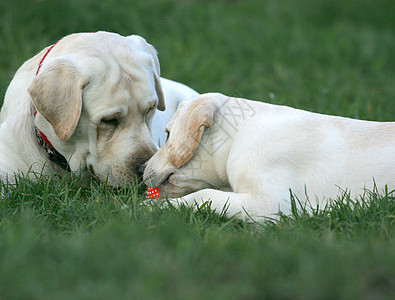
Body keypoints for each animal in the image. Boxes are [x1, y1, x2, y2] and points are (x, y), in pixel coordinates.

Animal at [145, 92, 395, 219]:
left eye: (167, 134)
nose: (140, 168)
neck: (238, 137)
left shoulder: (271, 203)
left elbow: (205, 196)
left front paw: (152, 208)